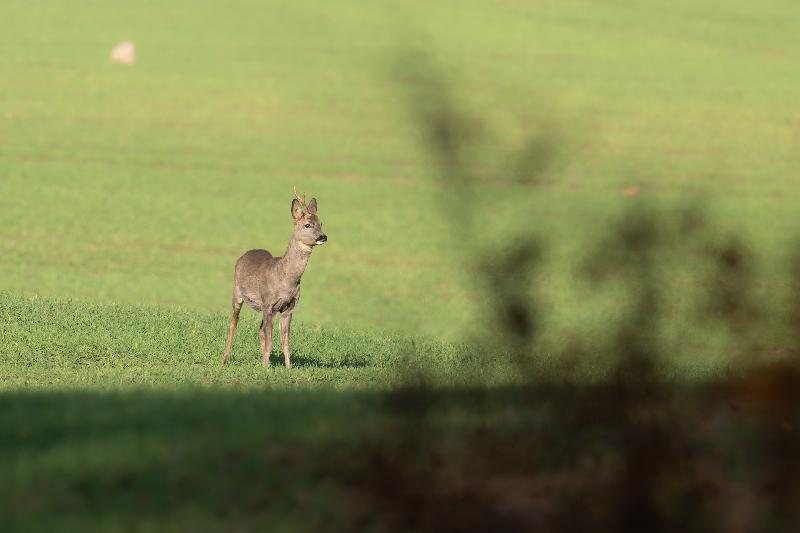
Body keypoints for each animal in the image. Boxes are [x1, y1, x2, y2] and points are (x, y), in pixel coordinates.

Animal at [222, 188, 327, 368]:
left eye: (321, 223)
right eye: (307, 225)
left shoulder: (289, 306)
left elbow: (285, 342)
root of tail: (245, 254)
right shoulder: (268, 303)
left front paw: (287, 367)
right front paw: (267, 369)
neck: (285, 279)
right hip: (237, 293)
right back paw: (225, 358)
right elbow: (271, 341)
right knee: (233, 322)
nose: (323, 237)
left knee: (260, 330)